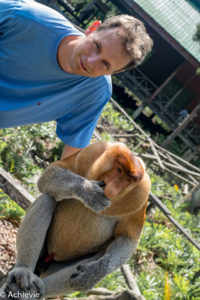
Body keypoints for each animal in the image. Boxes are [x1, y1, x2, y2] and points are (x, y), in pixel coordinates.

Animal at [2, 141, 150, 300]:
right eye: (119, 170)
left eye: (128, 180)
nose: (113, 189)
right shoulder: (94, 151)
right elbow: (52, 172)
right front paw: (89, 191)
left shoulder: (141, 194)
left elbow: (127, 238)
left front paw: (95, 272)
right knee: (48, 197)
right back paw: (24, 272)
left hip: (56, 266)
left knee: (100, 254)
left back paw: (40, 289)